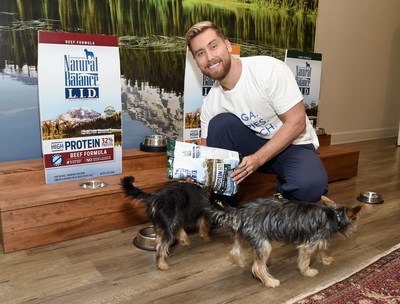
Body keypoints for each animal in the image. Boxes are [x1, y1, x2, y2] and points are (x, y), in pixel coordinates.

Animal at [208, 196, 364, 286]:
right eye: (356, 219)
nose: (357, 225)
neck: (333, 214)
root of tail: (239, 212)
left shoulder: (318, 239)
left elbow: (321, 249)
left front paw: (325, 259)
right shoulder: (309, 243)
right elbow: (305, 259)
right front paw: (307, 272)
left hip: (244, 235)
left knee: (235, 251)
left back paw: (242, 263)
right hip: (263, 243)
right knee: (257, 267)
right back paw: (270, 281)